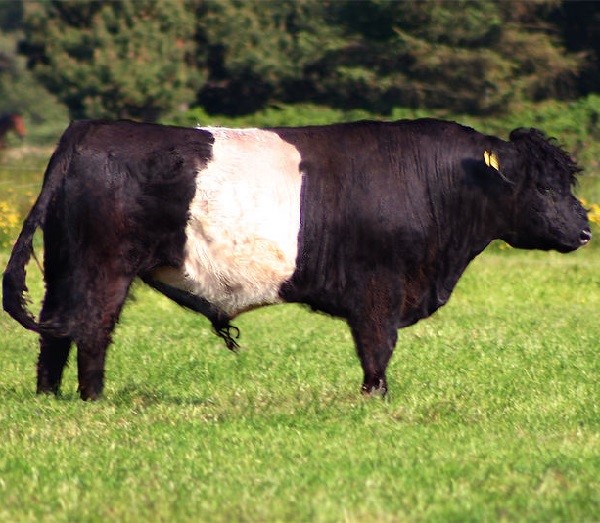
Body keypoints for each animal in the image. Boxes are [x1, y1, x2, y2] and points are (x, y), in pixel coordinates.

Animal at [1, 118, 592, 400]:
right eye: (544, 185)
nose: (586, 229)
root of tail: (87, 130)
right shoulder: (378, 288)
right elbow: (376, 348)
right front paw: (375, 400)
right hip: (105, 265)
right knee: (91, 329)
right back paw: (94, 399)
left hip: (66, 264)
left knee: (56, 333)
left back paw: (51, 396)